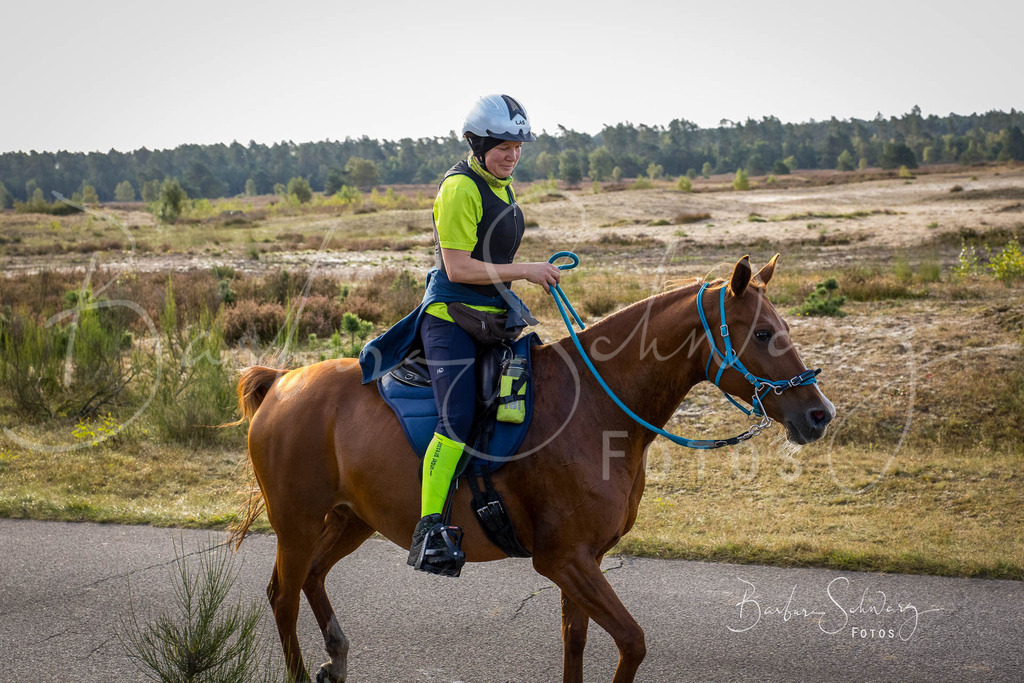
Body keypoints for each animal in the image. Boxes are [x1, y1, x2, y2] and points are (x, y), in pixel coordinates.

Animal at [231, 254, 834, 682]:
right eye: (762, 334)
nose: (819, 413)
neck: (595, 405)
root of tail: (281, 381)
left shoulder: (585, 561)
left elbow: (577, 643)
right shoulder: (564, 560)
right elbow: (632, 642)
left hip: (350, 518)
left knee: (311, 578)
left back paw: (336, 658)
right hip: (297, 522)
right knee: (283, 596)